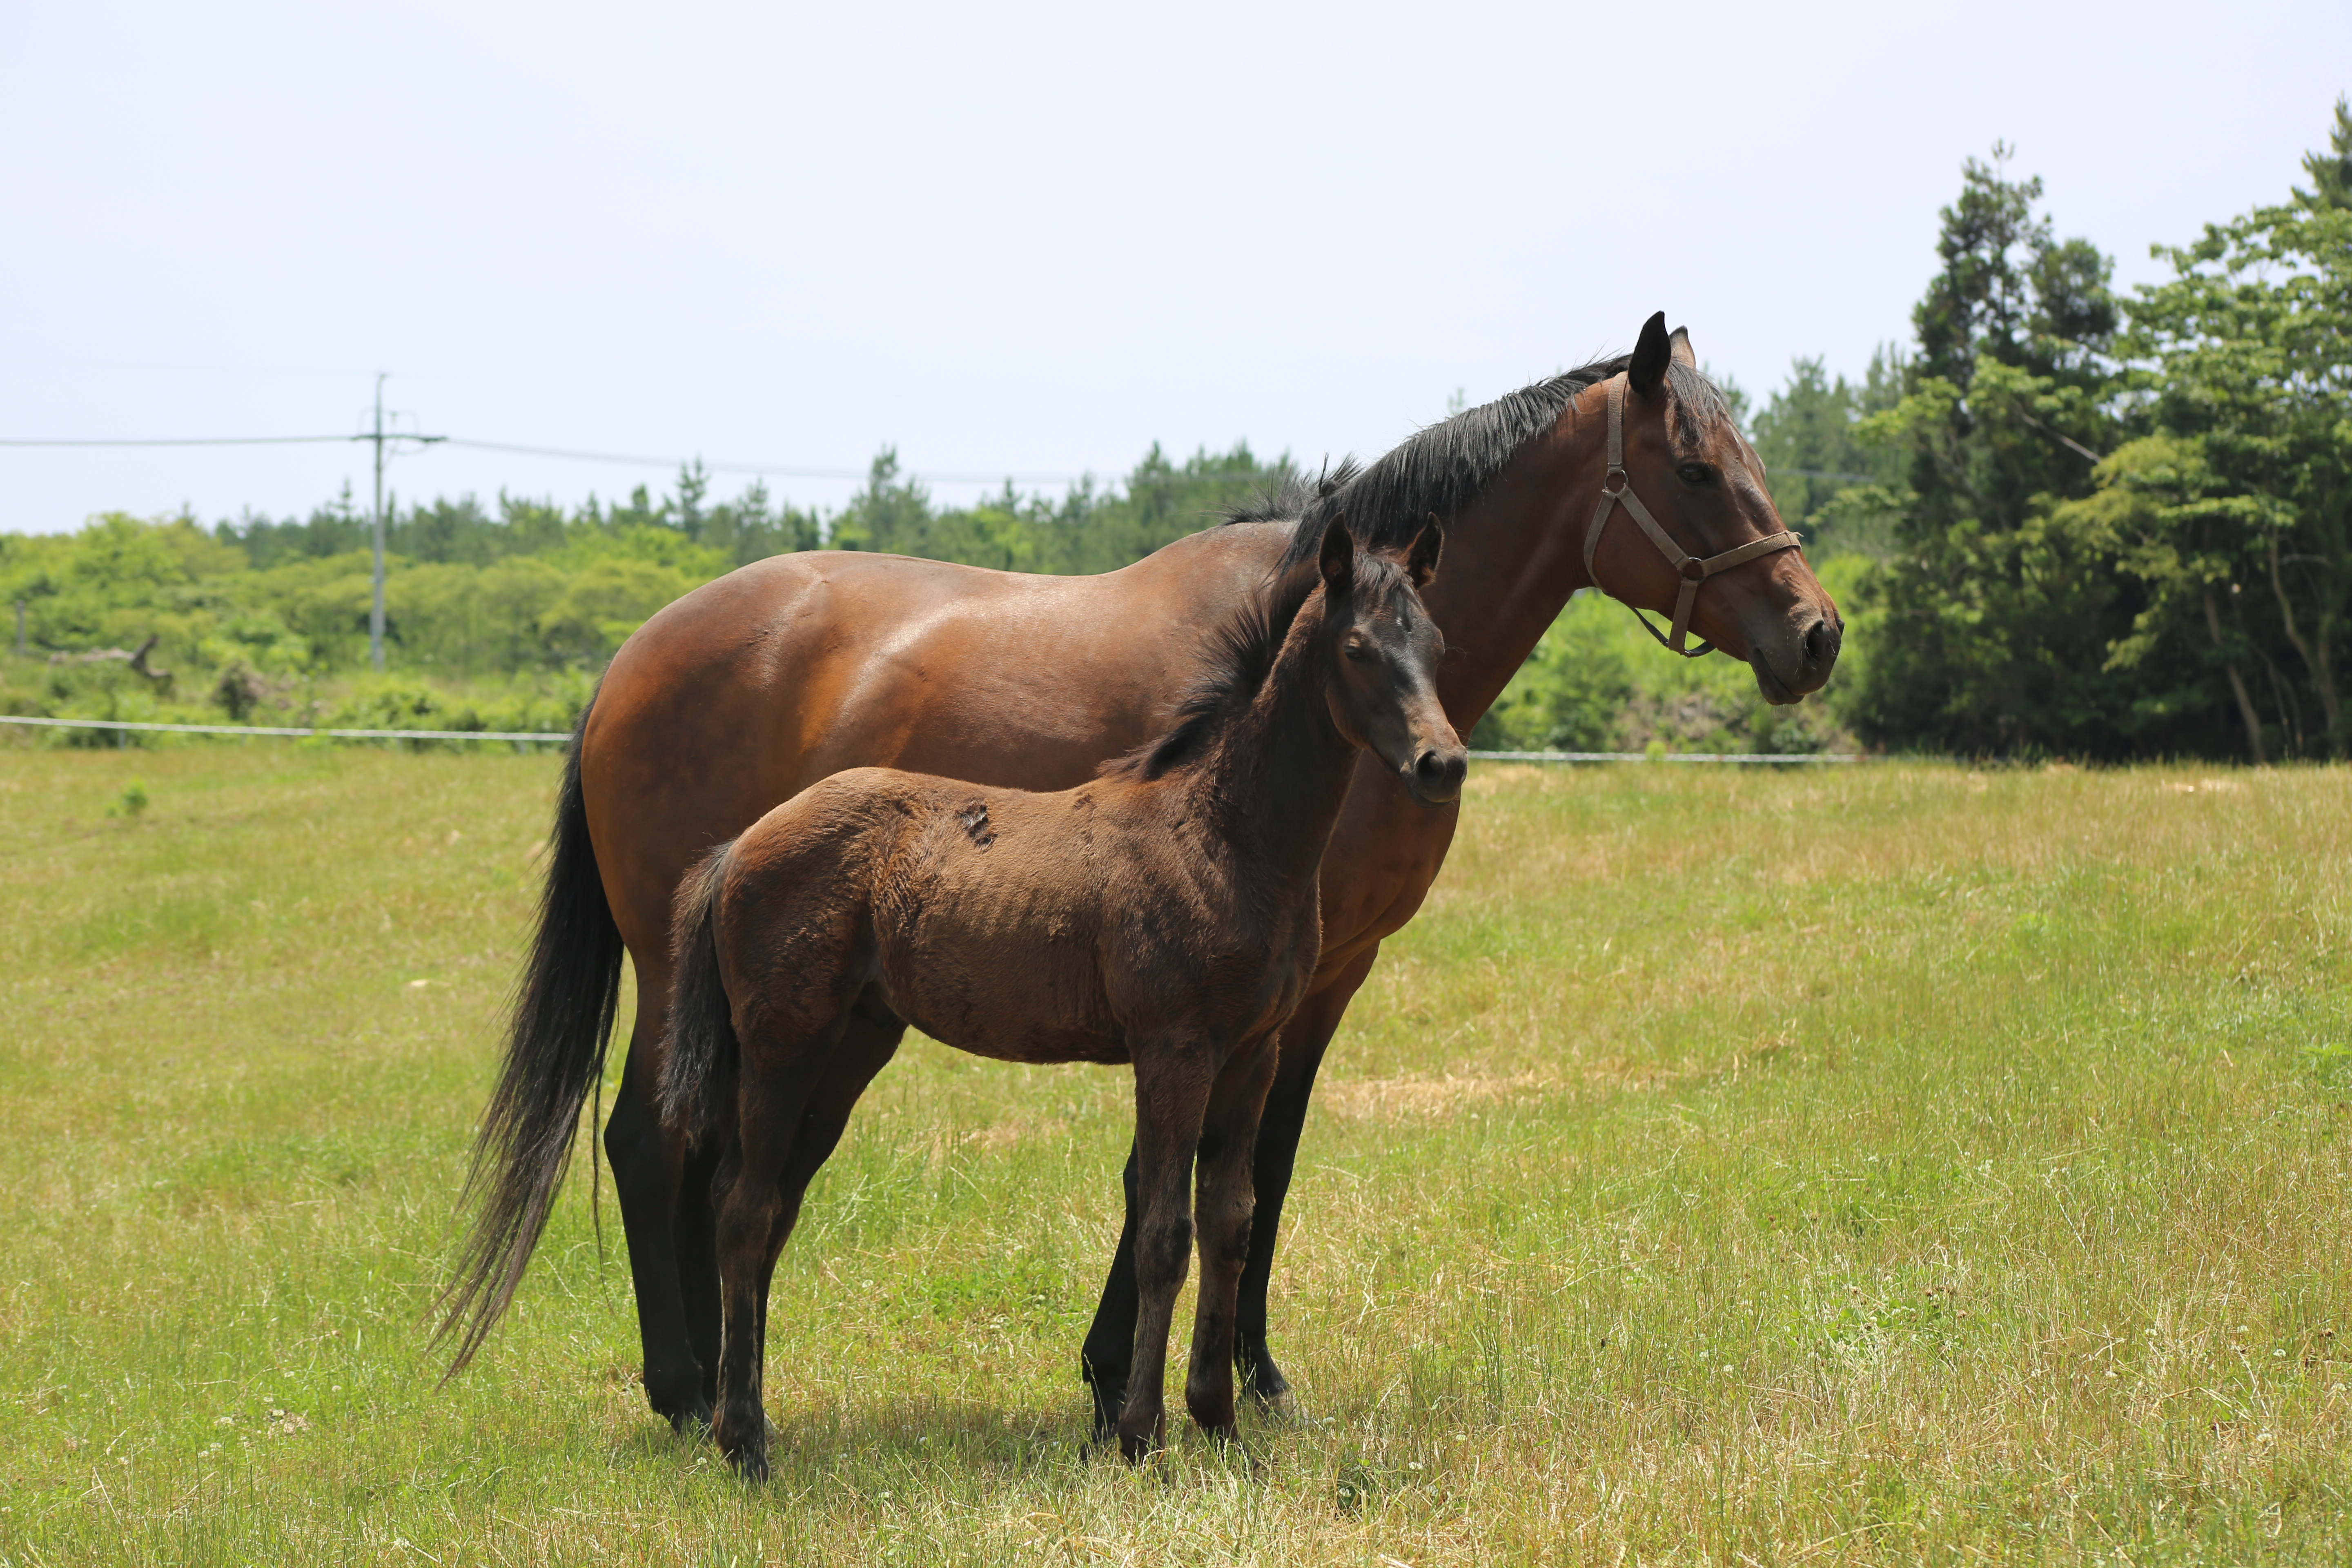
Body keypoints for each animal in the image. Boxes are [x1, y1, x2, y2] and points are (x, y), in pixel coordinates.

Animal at [663, 522, 1458, 1476]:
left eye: (1436, 644)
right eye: (1357, 648)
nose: (1443, 763)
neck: (1226, 835)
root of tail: (737, 847)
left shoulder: (1251, 1051)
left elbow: (1229, 1223)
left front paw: (1223, 1427)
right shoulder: (1174, 1047)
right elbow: (1164, 1234)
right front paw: (1141, 1437)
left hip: (850, 1041)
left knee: (762, 1201)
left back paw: (745, 1422)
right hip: (783, 1044)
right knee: (744, 1210)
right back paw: (745, 1445)